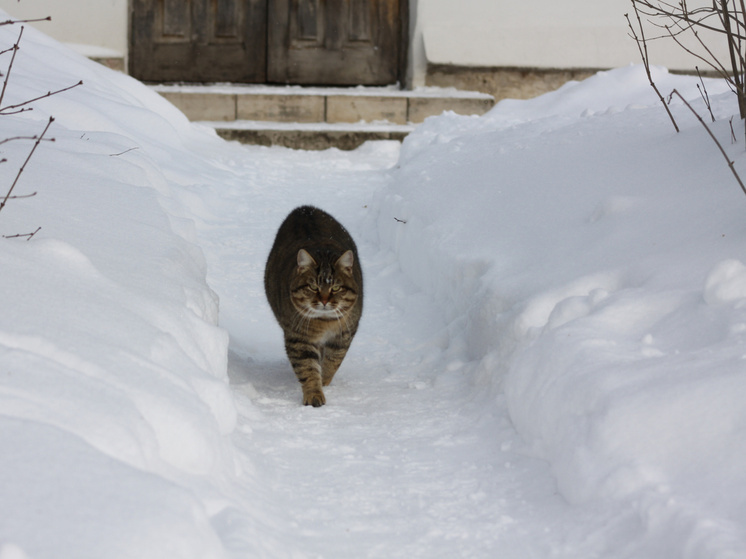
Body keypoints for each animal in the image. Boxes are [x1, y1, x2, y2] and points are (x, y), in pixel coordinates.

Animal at [264, 206, 364, 406]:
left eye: (335, 287)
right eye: (313, 287)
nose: (324, 300)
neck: (325, 322)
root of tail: (304, 209)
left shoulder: (344, 333)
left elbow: (333, 361)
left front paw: (324, 381)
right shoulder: (298, 337)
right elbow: (308, 368)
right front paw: (314, 394)